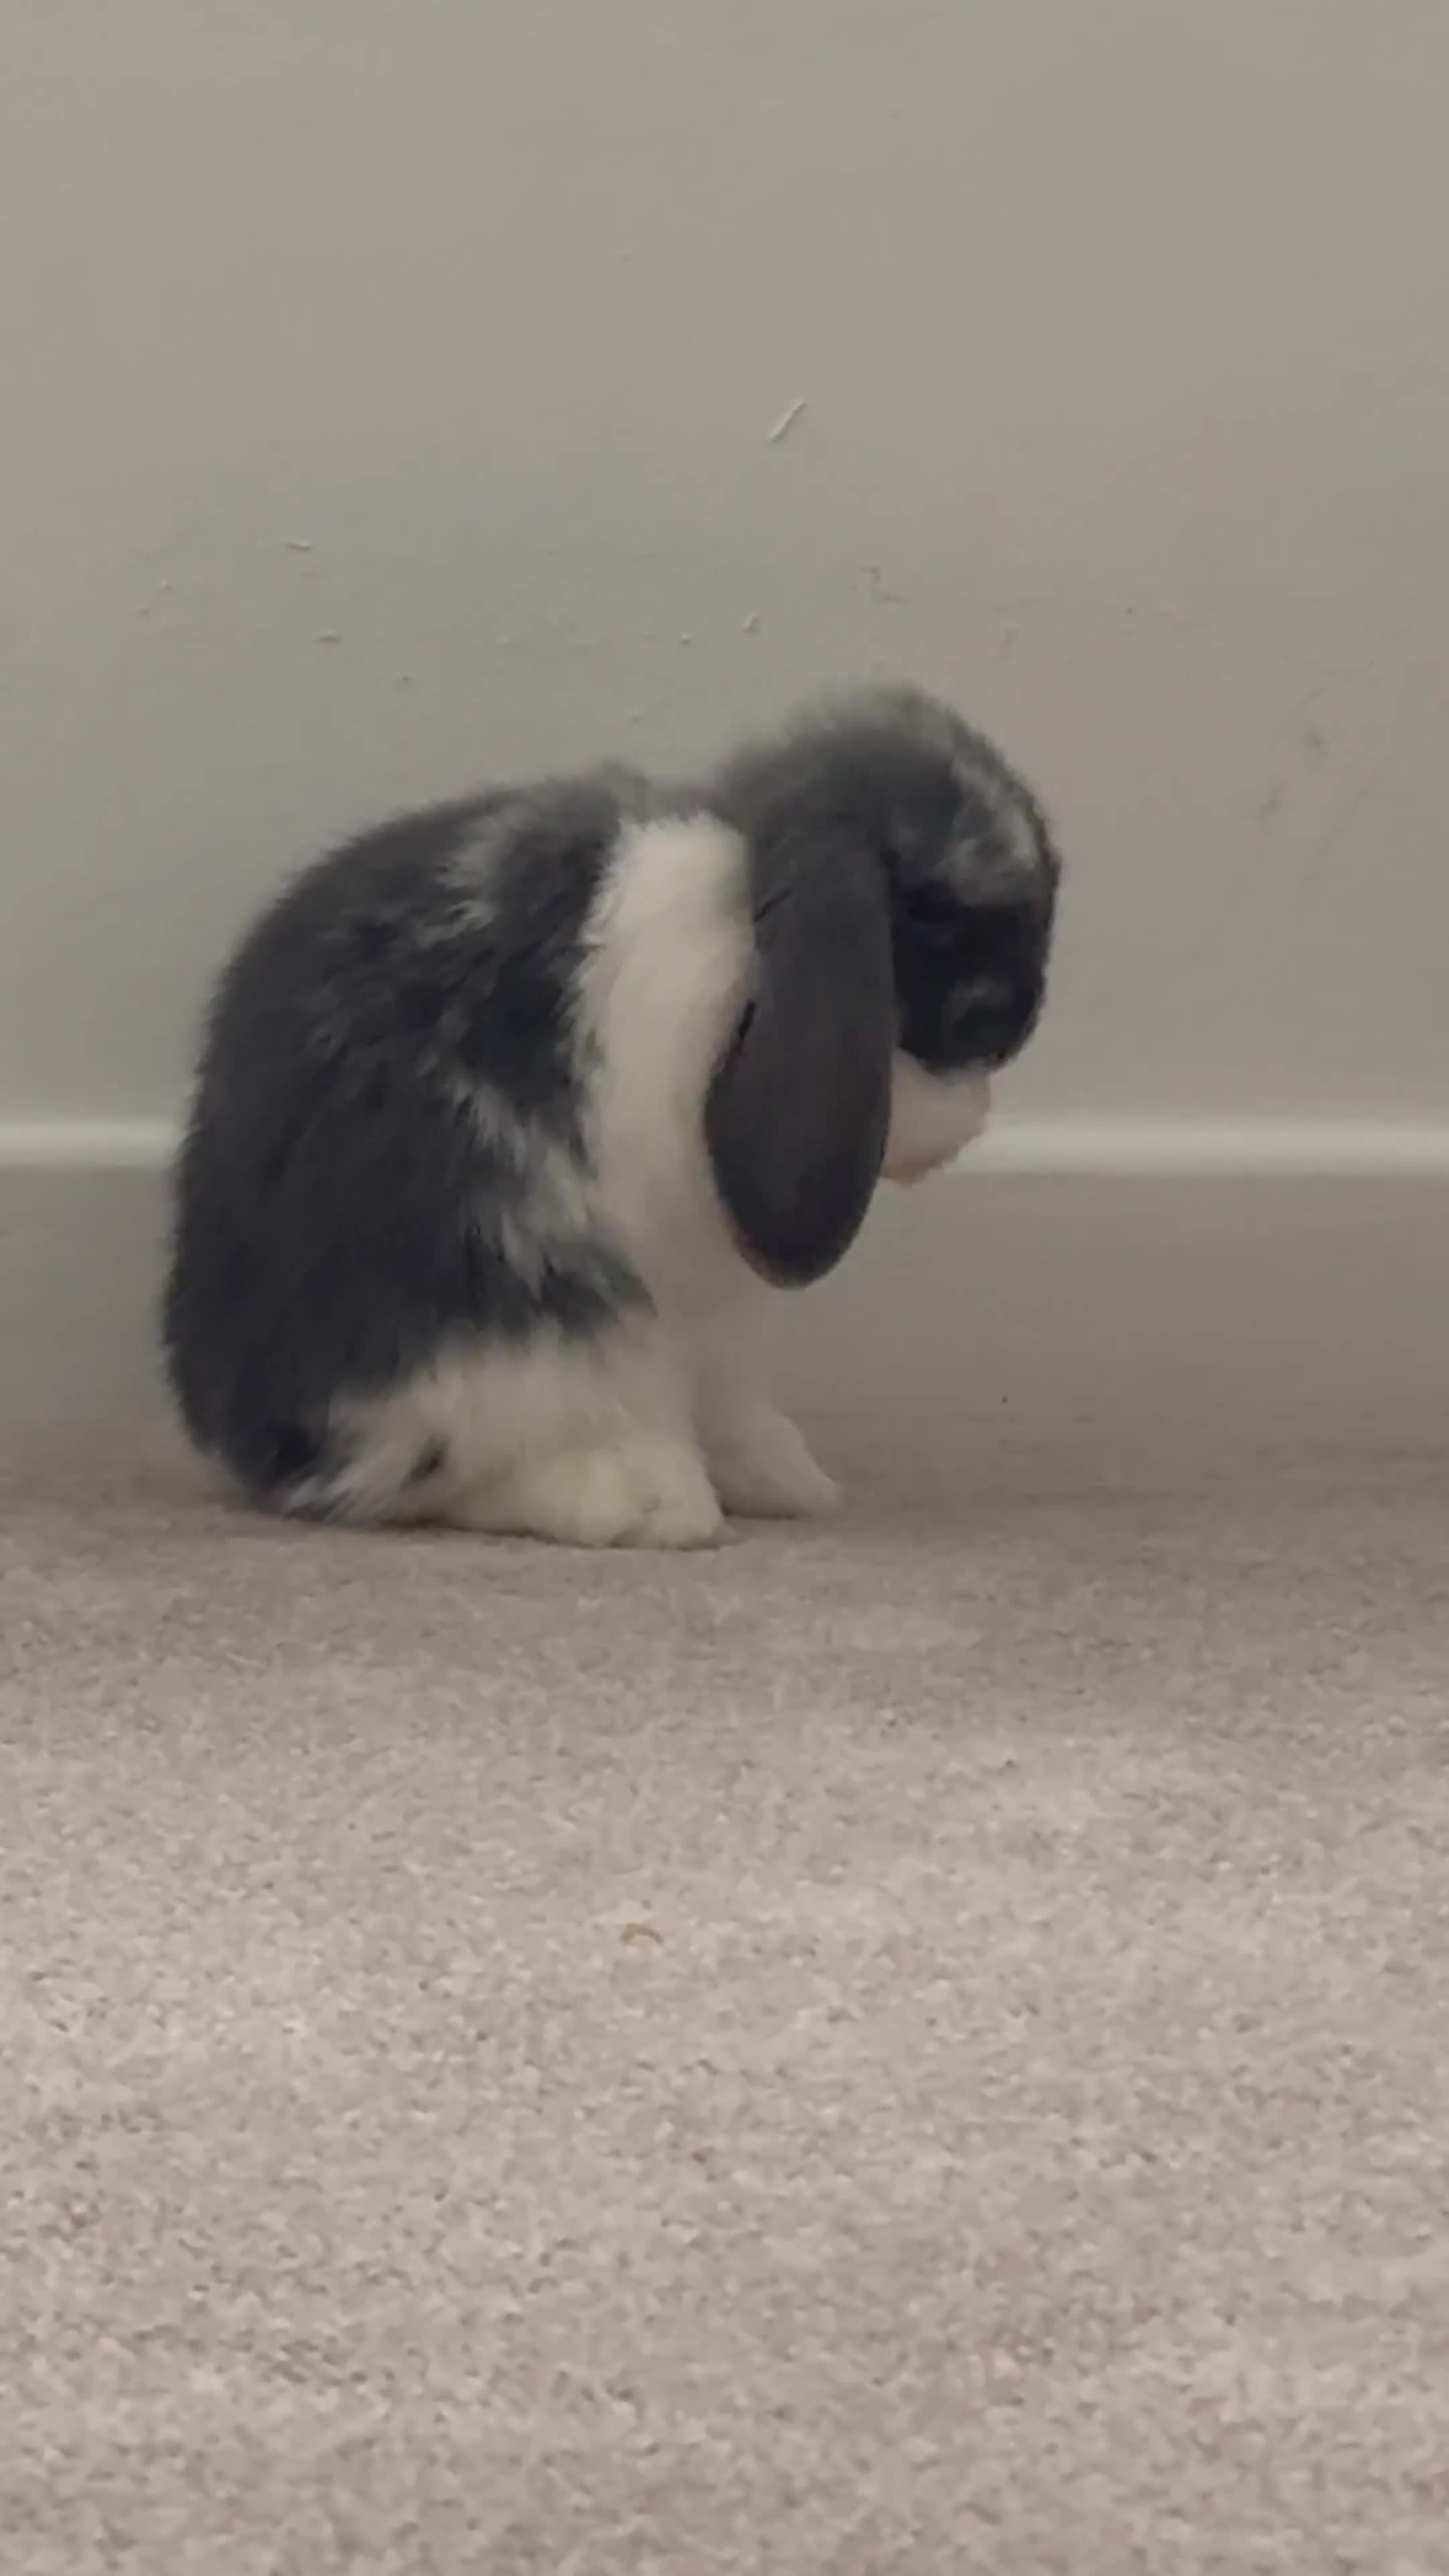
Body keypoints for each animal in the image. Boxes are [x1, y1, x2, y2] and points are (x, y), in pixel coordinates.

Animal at [162, 685, 1060, 1546]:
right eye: (953, 952)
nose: (981, 1103)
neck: (741, 921)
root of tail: (270, 1440)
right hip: (527, 1307)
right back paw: (651, 1505)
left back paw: (778, 1480)